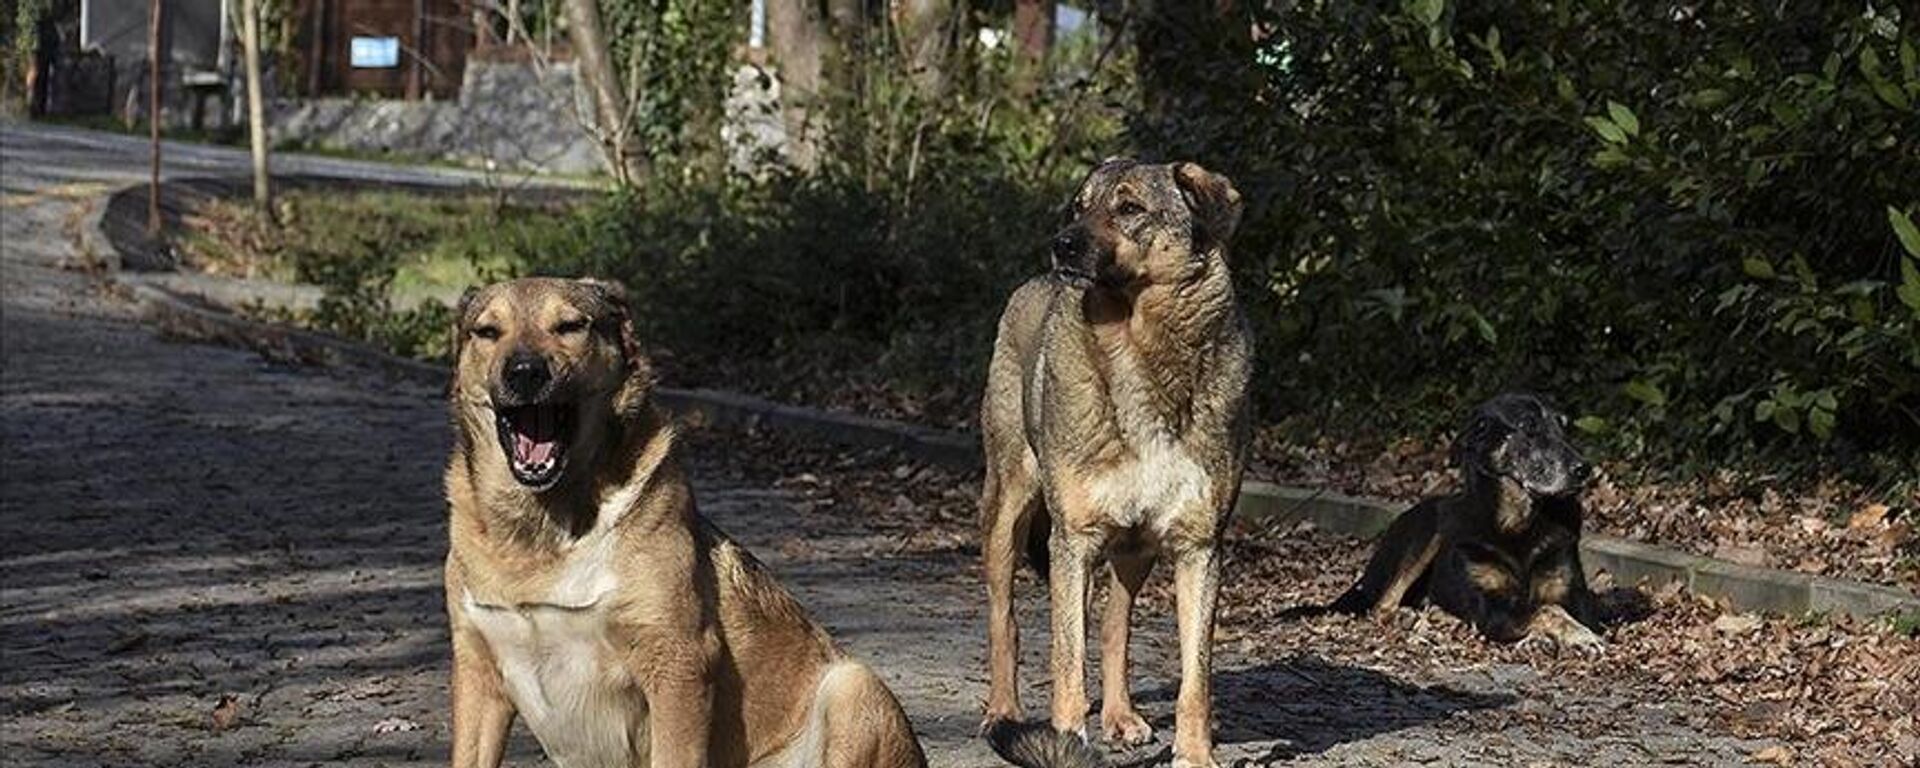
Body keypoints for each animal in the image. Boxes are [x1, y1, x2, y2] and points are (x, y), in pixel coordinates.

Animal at [449, 278, 929, 768]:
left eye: (570, 325)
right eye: (487, 331)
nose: (524, 371)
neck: (541, 530)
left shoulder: (678, 661)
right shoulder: (477, 674)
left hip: (852, 686)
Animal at [1290, 393, 1605, 652]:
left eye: (1564, 427)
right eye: (1529, 426)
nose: (1584, 469)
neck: (1517, 522)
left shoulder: (1575, 598)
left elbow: (1554, 608)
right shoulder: (1490, 608)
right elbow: (1547, 610)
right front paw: (1579, 636)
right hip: (1430, 531)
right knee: (1382, 606)